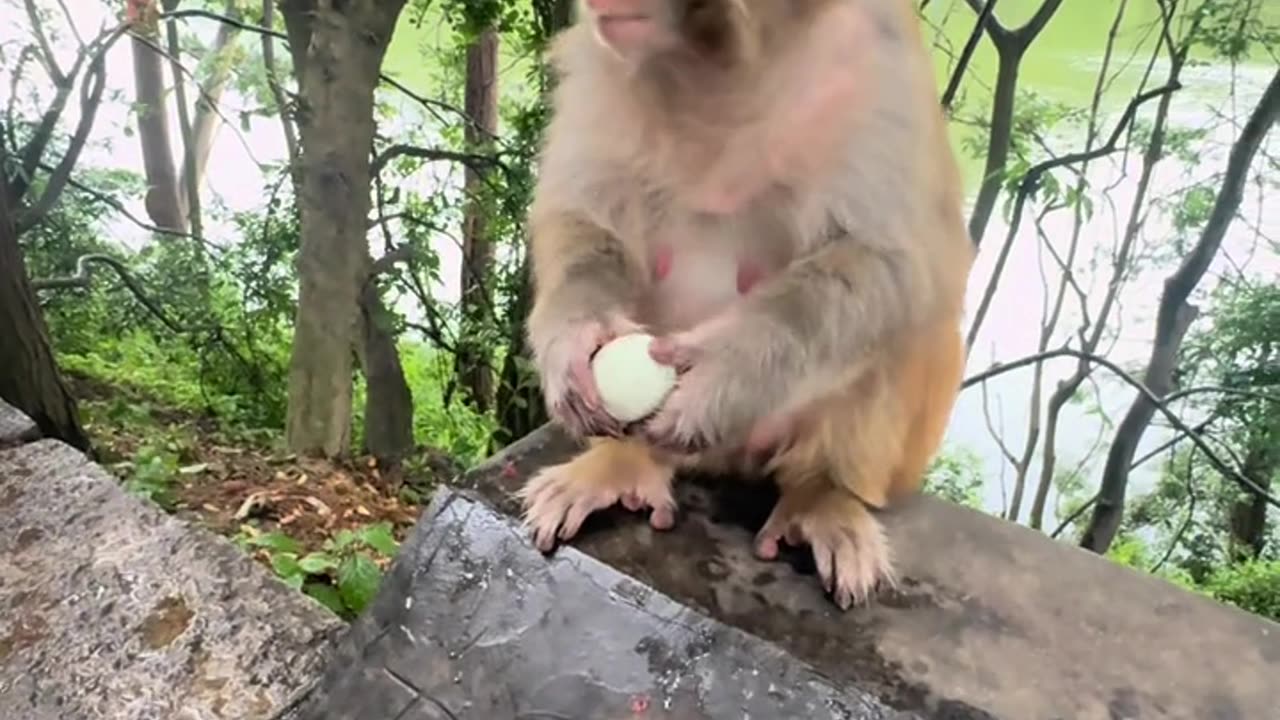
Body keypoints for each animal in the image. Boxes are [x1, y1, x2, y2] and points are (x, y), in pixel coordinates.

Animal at [516, 0, 974, 609]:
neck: (721, 63)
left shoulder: (875, 62)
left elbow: (896, 263)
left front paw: (726, 374)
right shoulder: (601, 61)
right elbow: (581, 214)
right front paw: (576, 339)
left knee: (915, 329)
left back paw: (822, 493)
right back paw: (623, 462)